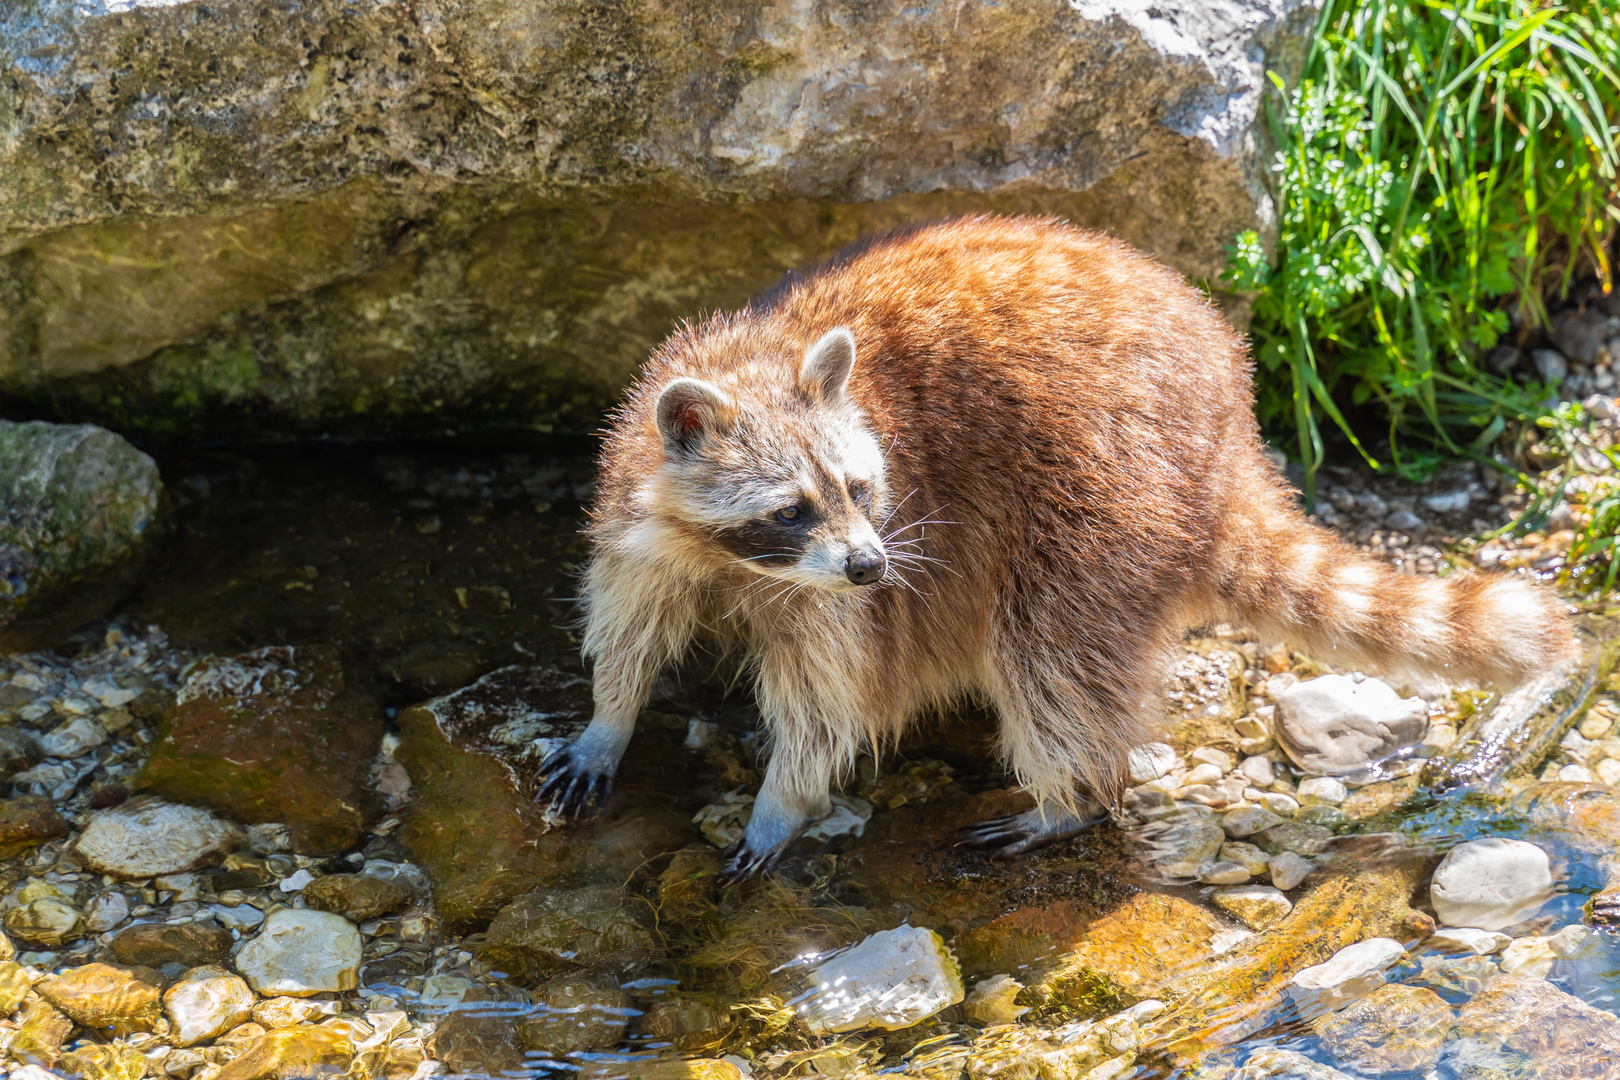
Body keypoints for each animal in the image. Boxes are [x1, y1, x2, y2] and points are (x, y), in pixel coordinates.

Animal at [537, 213, 1574, 880]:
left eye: (860, 489)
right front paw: (610, 718)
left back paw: (1066, 798)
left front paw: (780, 803)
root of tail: (1229, 431)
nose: (870, 564)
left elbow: (832, 703)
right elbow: (629, 623)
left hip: (1108, 486)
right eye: (792, 510)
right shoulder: (641, 522)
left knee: (1053, 652)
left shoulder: (851, 595)